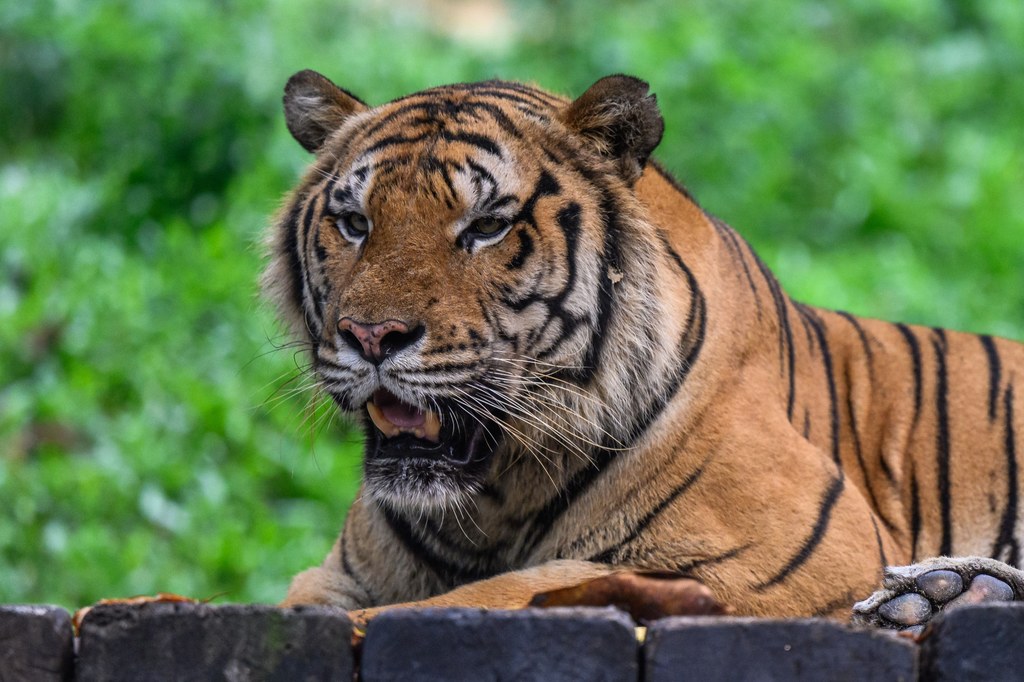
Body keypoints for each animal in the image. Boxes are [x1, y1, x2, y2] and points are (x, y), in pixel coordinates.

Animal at [266, 69, 1024, 626]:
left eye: (486, 226)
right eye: (354, 222)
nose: (371, 336)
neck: (492, 502)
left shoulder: (801, 555)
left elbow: (501, 591)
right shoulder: (338, 573)